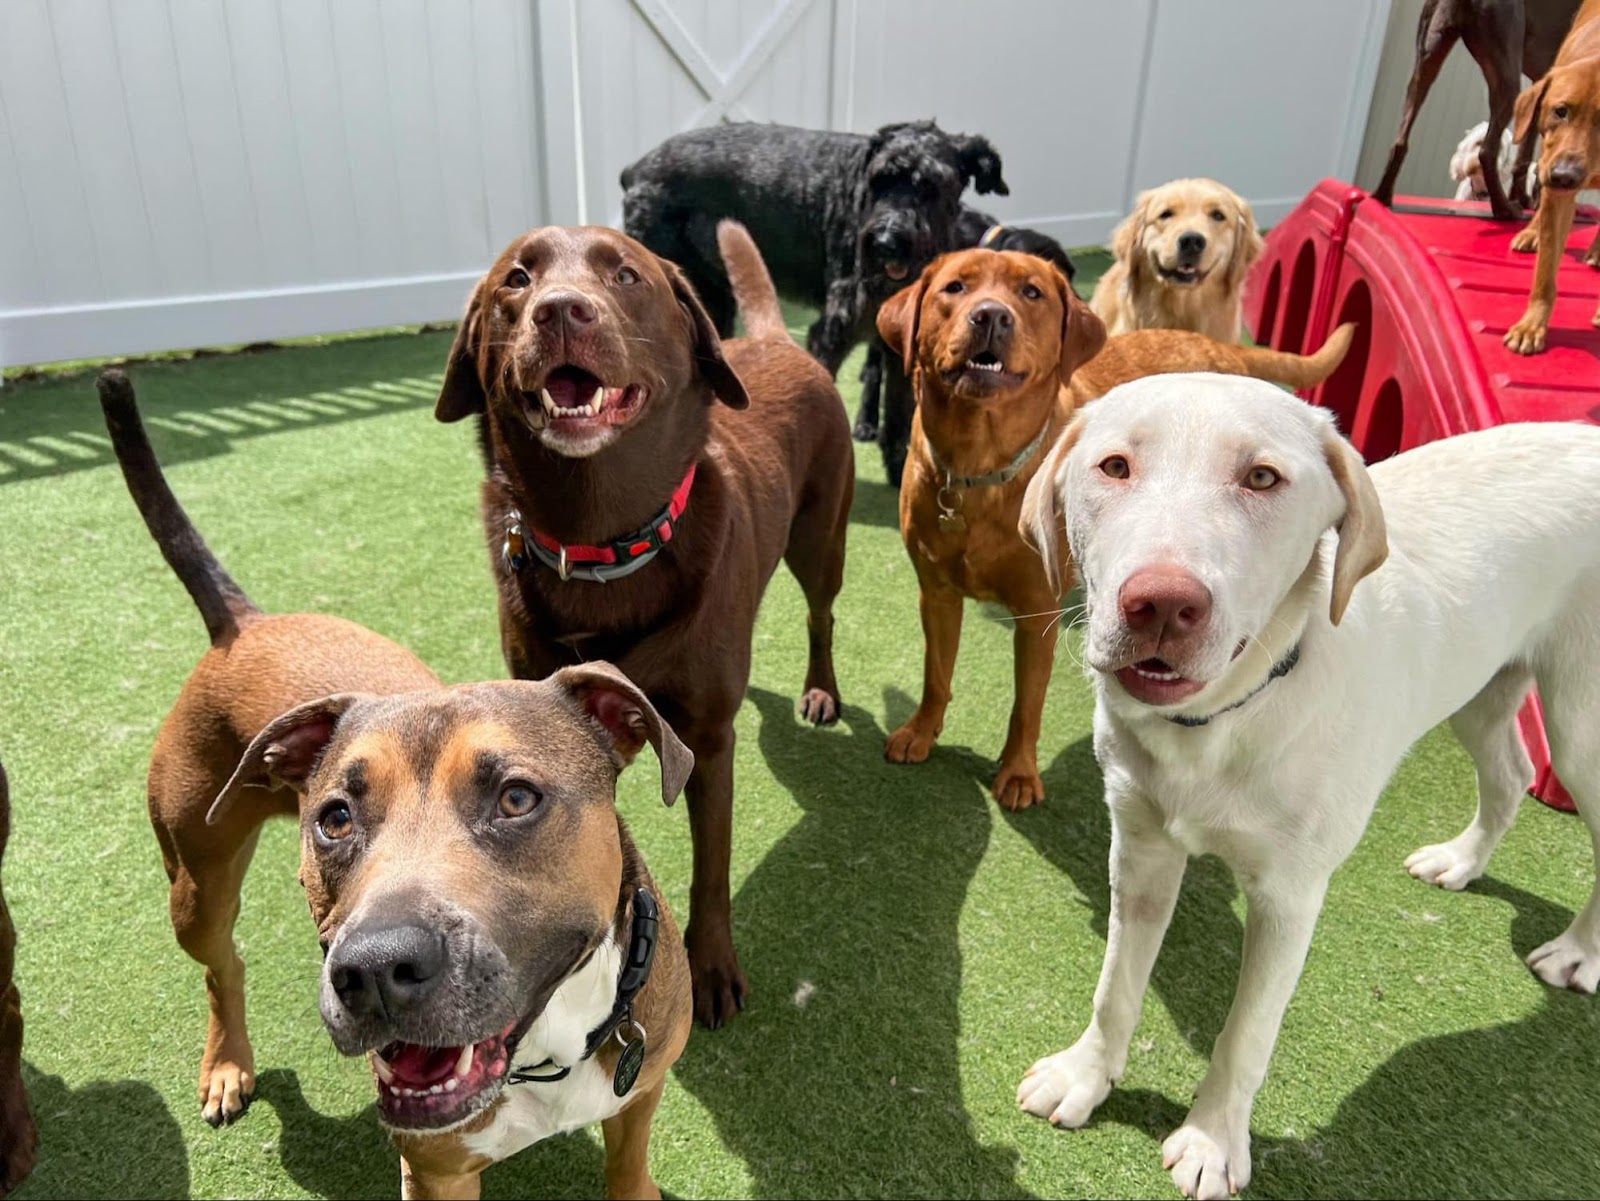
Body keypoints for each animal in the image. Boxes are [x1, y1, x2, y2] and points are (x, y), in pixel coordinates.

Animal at [617, 117, 1004, 482]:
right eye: (880, 181)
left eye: (932, 185)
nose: (885, 242)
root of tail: (635, 169)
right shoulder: (834, 329)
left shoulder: (898, 352)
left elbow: (898, 416)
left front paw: (900, 476)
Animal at [876, 252, 1350, 812]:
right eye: (955, 287)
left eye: (1031, 293)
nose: (990, 315)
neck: (978, 469)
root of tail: (1216, 346)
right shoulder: (937, 594)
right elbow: (936, 672)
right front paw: (922, 730)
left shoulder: (1037, 612)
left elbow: (1027, 702)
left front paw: (1018, 772)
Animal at [1011, 375, 1600, 1201]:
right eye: (1115, 466)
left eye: (1263, 477)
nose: (1160, 603)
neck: (1223, 719)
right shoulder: (1140, 851)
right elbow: (1115, 986)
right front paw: (1084, 1076)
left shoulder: (1288, 896)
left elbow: (1247, 1033)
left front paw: (1212, 1140)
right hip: (1481, 683)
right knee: (1512, 772)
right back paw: (1461, 861)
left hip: (1580, 724)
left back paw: (1578, 952)